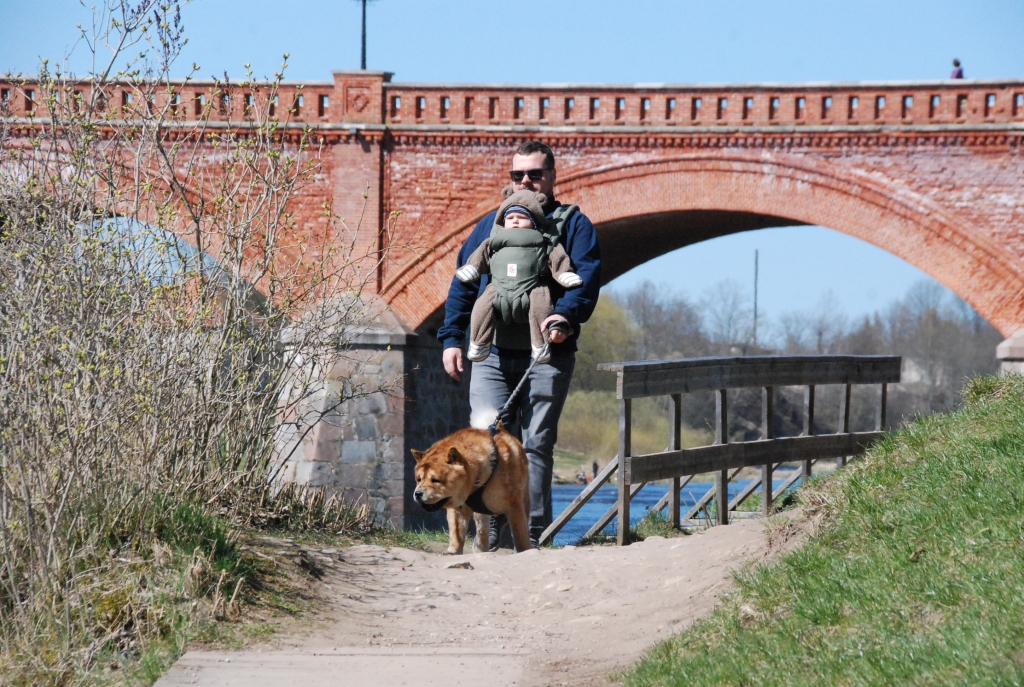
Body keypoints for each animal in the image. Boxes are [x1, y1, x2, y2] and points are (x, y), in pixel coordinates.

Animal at [411, 423, 532, 552]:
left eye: (435, 480)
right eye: (419, 479)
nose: (417, 493)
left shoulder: (515, 506)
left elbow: (521, 537)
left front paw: (525, 551)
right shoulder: (457, 508)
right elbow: (456, 534)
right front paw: (453, 552)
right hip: (481, 513)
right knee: (482, 533)